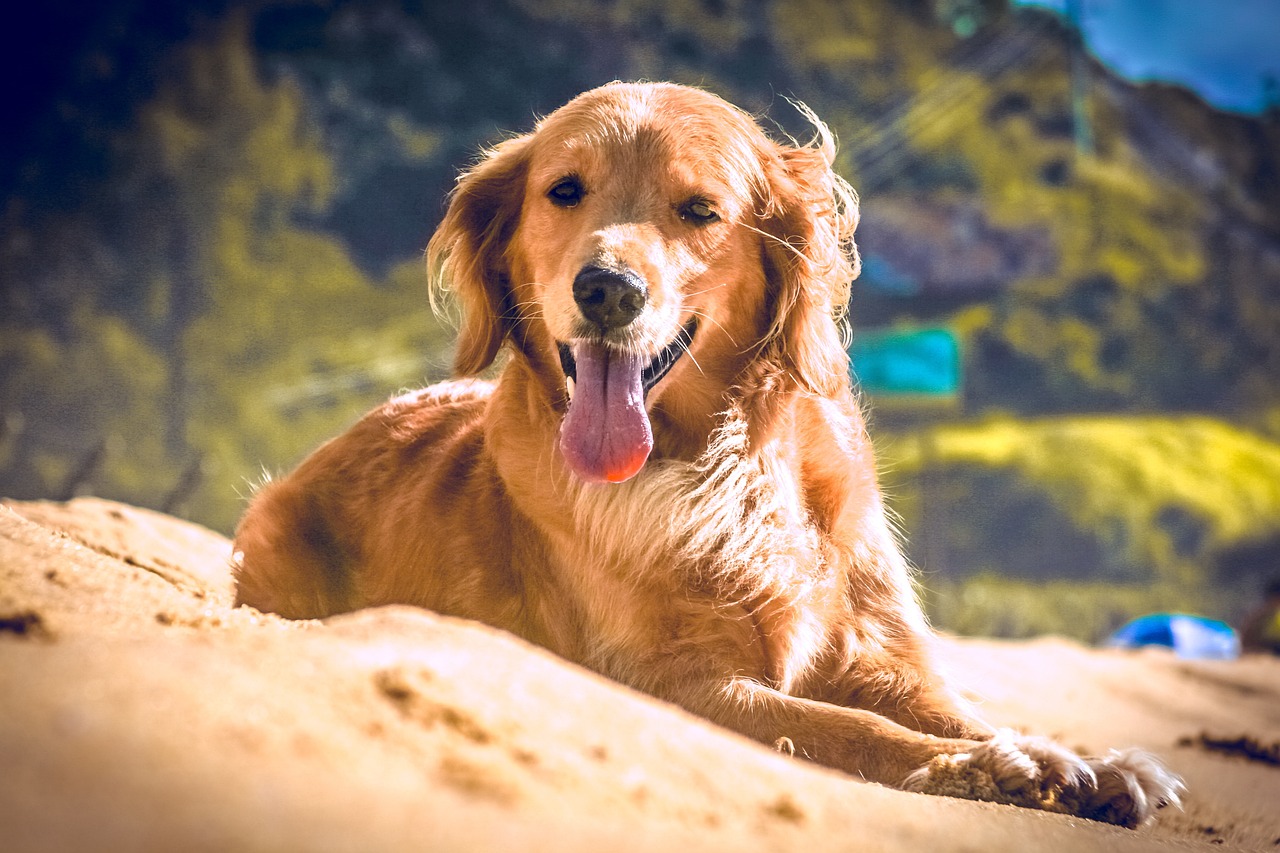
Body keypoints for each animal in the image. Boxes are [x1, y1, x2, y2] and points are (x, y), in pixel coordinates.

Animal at [235, 81, 1182, 824]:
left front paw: (1077, 758)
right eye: (563, 191)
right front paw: (983, 769)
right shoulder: (671, 680)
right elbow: (853, 728)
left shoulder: (876, 651)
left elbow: (957, 706)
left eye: (699, 211)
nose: (606, 289)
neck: (726, 463)